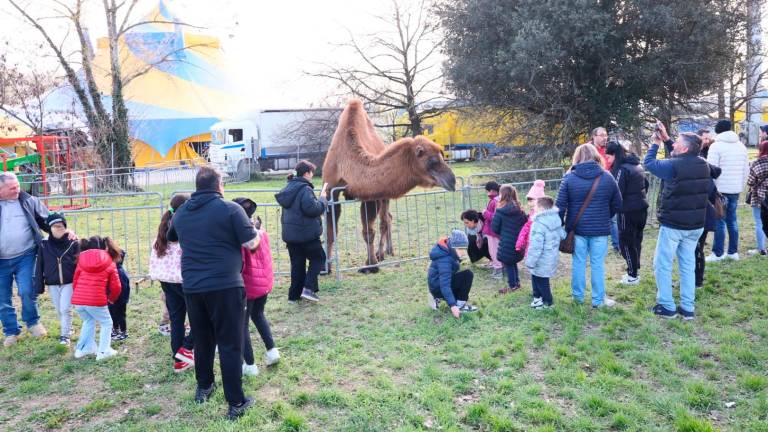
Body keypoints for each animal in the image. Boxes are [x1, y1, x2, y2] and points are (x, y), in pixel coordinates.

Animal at [322, 99, 456, 272]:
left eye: (442, 156)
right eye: (433, 161)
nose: (452, 180)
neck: (346, 163)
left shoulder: (370, 196)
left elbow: (369, 231)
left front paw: (371, 264)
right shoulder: (330, 190)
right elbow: (331, 231)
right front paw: (327, 267)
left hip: (383, 196)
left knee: (385, 221)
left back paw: (384, 252)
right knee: (387, 219)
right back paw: (386, 251)